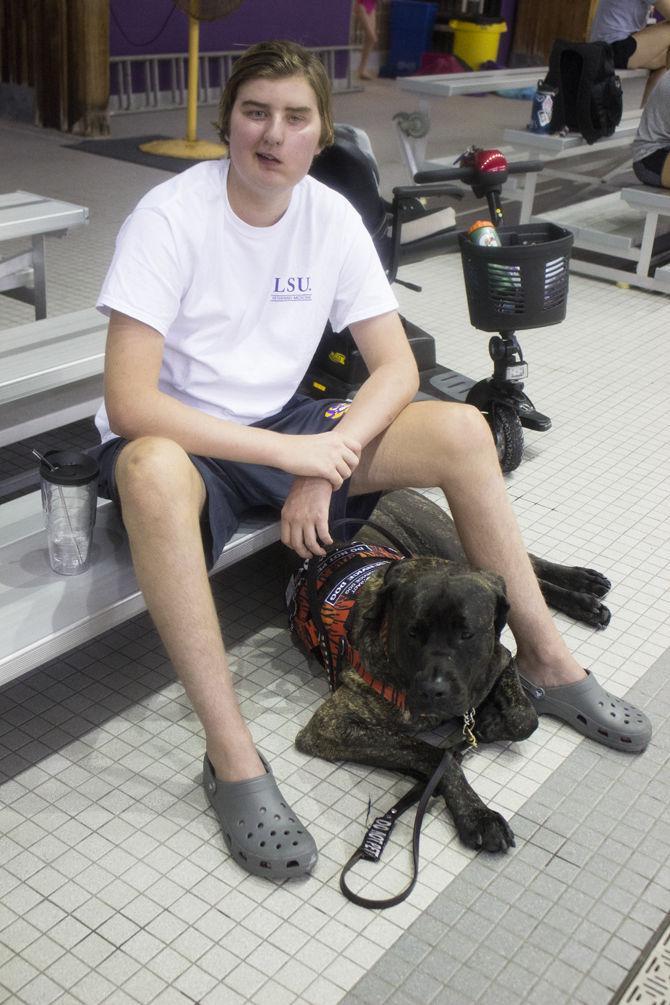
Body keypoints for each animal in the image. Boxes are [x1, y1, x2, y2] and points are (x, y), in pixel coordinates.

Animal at [291, 490, 610, 852]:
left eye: (466, 634)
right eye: (412, 632)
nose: (434, 690)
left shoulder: (501, 659)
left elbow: (524, 717)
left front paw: (490, 721)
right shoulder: (332, 727)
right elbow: (434, 755)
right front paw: (476, 814)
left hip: (450, 541)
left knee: (529, 570)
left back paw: (583, 590)